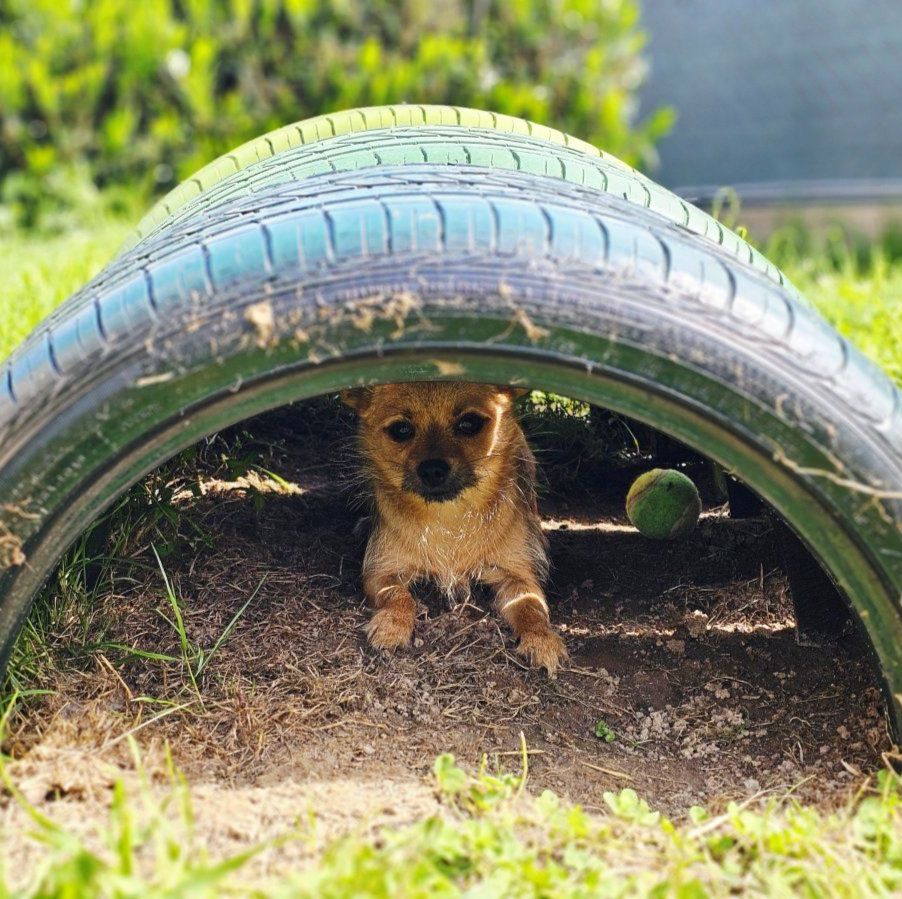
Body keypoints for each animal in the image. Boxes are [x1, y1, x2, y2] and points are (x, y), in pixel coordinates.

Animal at [341, 381, 567, 675]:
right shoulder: (381, 572)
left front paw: (542, 639)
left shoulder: (518, 577)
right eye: (400, 430)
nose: (432, 469)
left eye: (469, 423)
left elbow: (531, 607)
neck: (449, 517)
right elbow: (399, 596)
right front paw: (392, 624)